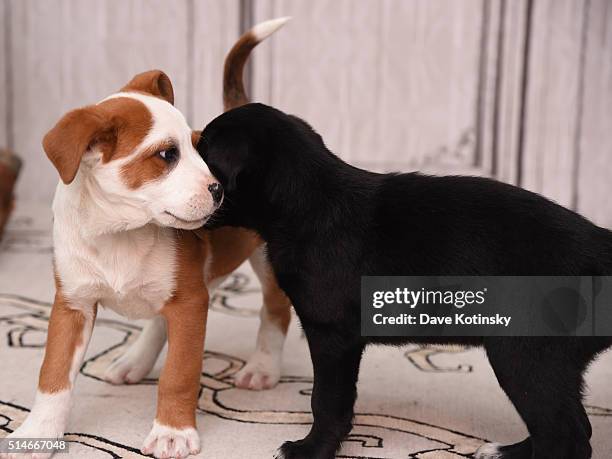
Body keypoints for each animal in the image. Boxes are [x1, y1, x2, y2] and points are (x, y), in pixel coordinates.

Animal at [198, 104, 608, 459]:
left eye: (202, 156)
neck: (309, 201)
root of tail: (600, 247)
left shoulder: (332, 336)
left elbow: (327, 400)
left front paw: (310, 450)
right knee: (564, 426)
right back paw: (504, 451)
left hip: (524, 354)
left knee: (566, 435)